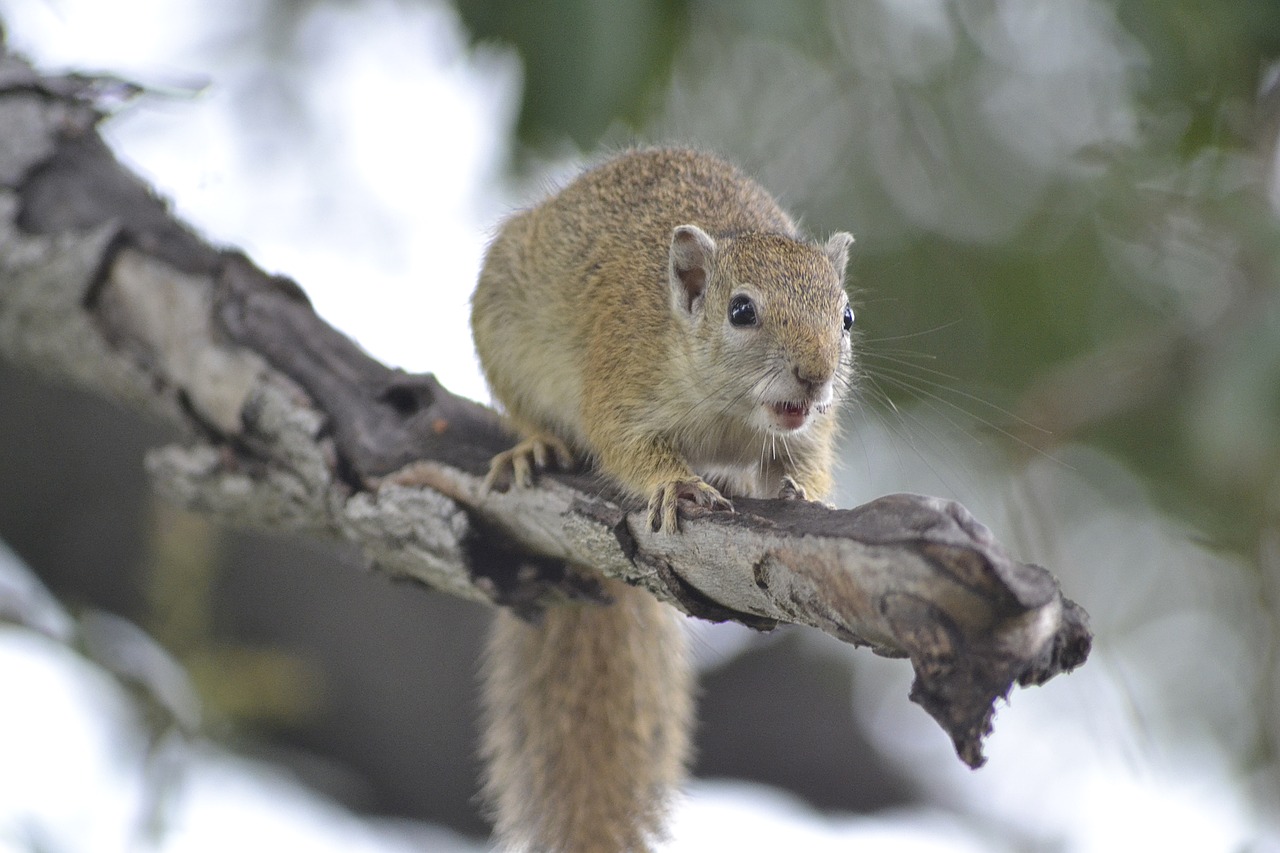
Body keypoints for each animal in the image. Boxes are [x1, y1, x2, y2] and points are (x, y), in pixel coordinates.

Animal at [468, 147, 849, 850]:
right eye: (741, 311)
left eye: (847, 317)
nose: (815, 377)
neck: (729, 413)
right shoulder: (621, 383)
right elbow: (624, 447)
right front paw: (675, 483)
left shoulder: (808, 430)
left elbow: (805, 462)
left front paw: (808, 494)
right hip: (503, 330)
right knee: (524, 411)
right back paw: (534, 446)